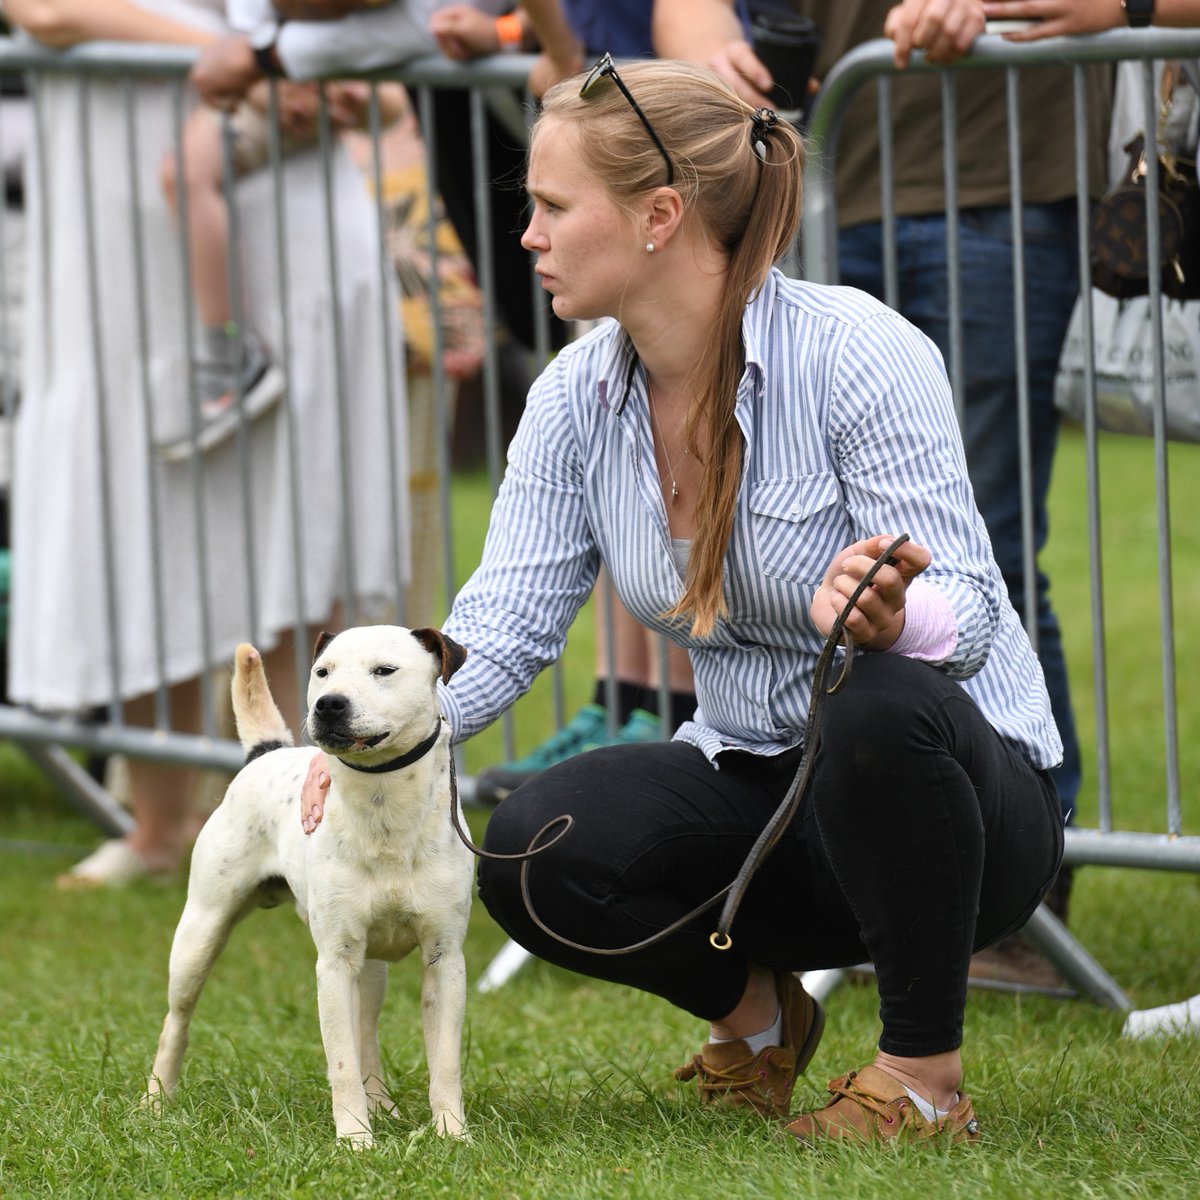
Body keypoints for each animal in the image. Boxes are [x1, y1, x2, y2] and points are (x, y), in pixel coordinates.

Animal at [147, 624, 470, 1147]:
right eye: (322, 671)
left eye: (385, 670)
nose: (329, 704)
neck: (384, 810)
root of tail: (267, 751)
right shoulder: (334, 964)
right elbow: (340, 1063)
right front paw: (356, 1140)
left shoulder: (444, 959)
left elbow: (443, 1061)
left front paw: (451, 1135)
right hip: (200, 933)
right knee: (176, 1020)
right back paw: (156, 1102)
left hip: (370, 968)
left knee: (366, 1032)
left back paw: (382, 1105)